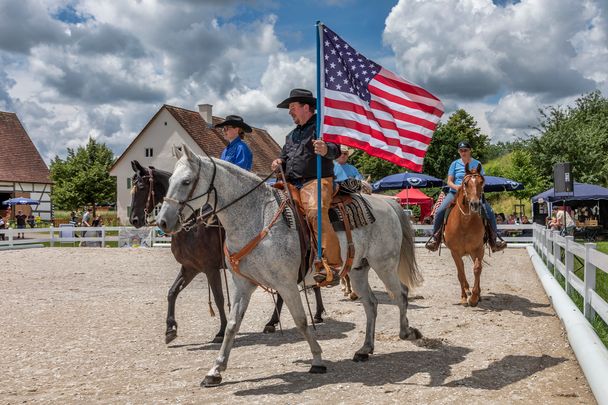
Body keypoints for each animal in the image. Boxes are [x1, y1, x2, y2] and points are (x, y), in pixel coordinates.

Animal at [129, 159, 328, 342]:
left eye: (141, 186)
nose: (134, 220)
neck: (194, 227)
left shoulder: (210, 269)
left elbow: (219, 298)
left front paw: (221, 330)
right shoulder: (190, 268)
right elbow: (172, 292)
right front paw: (170, 329)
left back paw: (288, 319)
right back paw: (299, 317)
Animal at [157, 144, 422, 386]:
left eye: (186, 181)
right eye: (169, 180)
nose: (162, 222)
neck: (256, 218)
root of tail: (386, 203)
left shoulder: (286, 284)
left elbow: (301, 321)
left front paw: (317, 360)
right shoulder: (242, 285)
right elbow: (232, 325)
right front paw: (215, 371)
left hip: (384, 264)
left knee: (400, 294)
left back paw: (408, 331)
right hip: (358, 270)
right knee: (372, 304)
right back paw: (365, 349)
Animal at [442, 163, 484, 304]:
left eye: (481, 182)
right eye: (465, 183)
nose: (475, 204)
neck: (464, 223)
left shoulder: (478, 249)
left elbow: (477, 269)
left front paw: (475, 296)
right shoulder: (454, 252)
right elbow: (460, 273)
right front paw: (464, 297)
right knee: (461, 270)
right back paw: (466, 290)